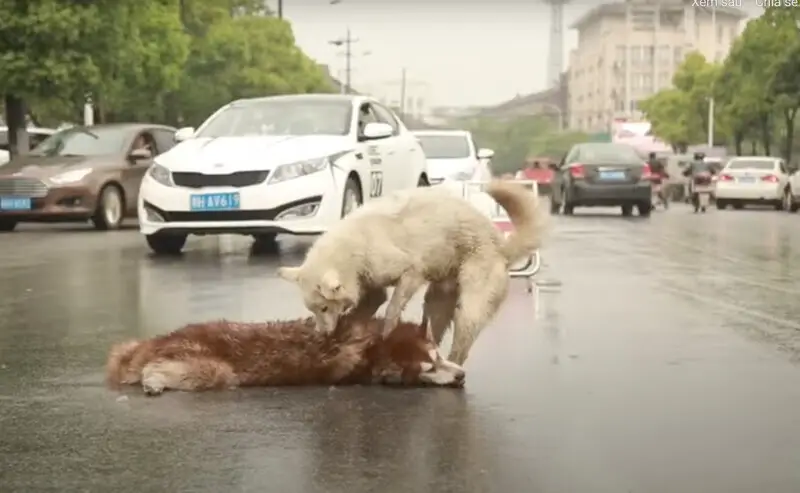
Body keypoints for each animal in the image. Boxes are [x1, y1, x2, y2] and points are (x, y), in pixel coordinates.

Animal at [278, 181, 548, 366]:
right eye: (313, 310)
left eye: (324, 308)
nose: (321, 335)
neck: (352, 248)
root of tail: (502, 248)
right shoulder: (371, 285)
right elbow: (366, 308)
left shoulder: (410, 272)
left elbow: (392, 309)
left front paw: (386, 334)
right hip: (437, 303)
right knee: (434, 333)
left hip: (470, 306)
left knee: (462, 344)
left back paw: (452, 368)